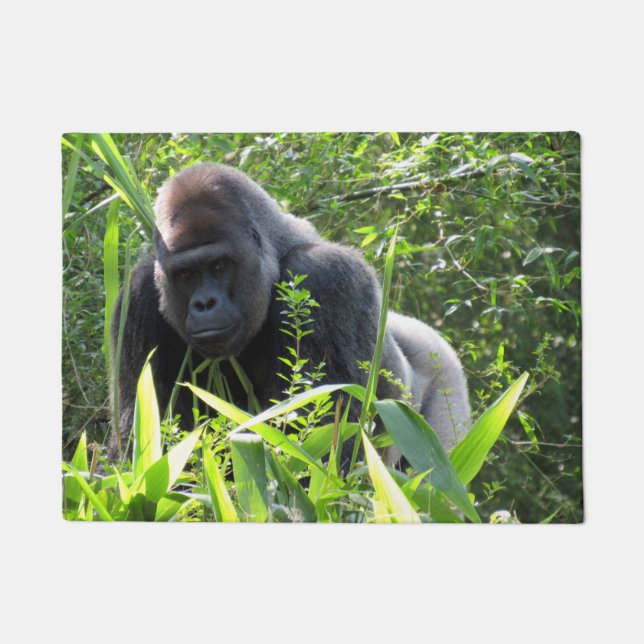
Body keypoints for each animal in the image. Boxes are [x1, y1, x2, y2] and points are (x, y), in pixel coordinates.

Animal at [110, 163, 470, 465]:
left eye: (219, 266)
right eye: (185, 275)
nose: (204, 304)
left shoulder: (320, 276)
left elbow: (325, 441)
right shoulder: (140, 295)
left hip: (443, 374)